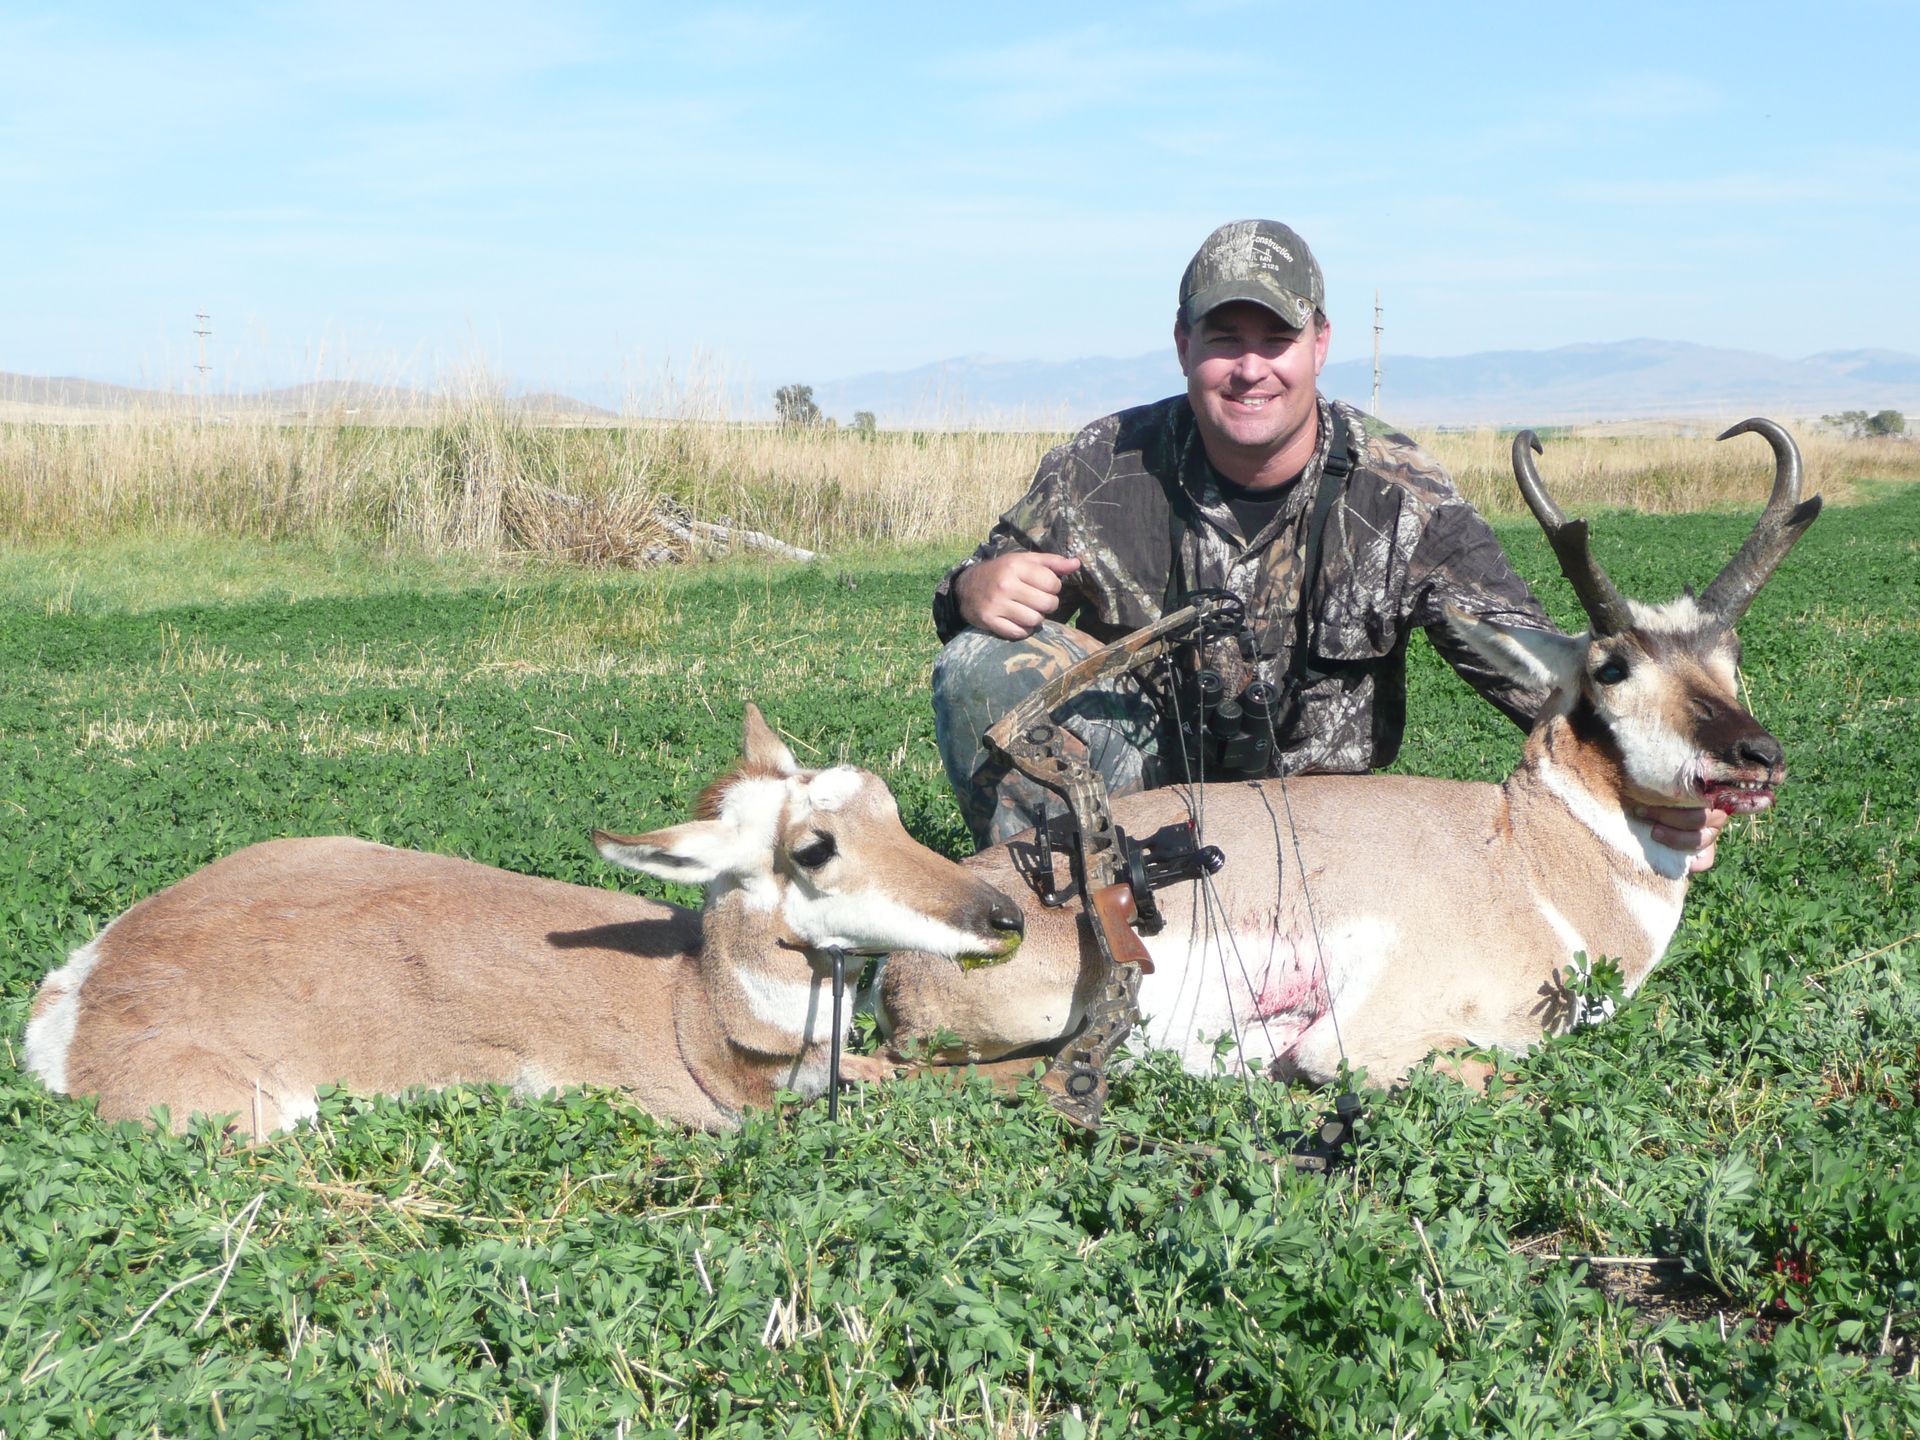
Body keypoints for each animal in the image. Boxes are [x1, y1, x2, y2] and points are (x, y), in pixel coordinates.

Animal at [24, 705, 1026, 1137]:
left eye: (889, 805)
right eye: (814, 847)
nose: (1006, 913)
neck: (689, 1003)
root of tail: (86, 980)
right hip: (264, 1114)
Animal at [879, 420, 1821, 1088]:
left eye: (1730, 656)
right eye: (1612, 667)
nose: (1757, 754)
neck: (1526, 854)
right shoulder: (1371, 1041)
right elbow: (1485, 1071)